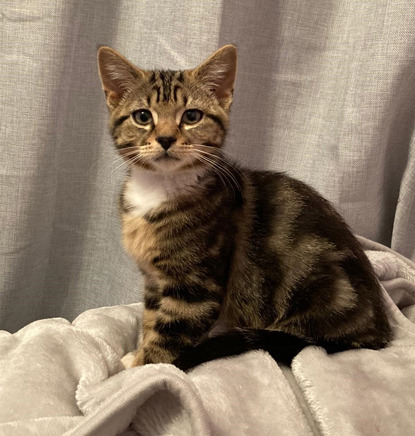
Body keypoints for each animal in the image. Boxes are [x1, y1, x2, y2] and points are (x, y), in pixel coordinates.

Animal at [97, 45, 394, 372]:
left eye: (191, 116)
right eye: (142, 116)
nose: (165, 138)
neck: (158, 189)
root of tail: (378, 329)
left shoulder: (195, 288)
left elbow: (168, 339)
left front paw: (137, 372)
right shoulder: (154, 280)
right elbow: (151, 321)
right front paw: (136, 356)